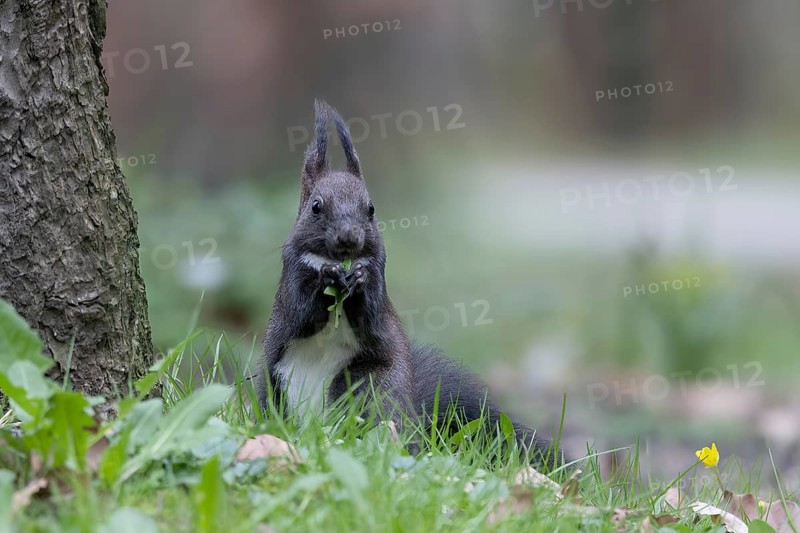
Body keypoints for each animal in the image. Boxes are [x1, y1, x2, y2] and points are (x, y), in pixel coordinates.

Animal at [257, 100, 557, 467]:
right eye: (316, 206)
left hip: (370, 385)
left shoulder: (379, 276)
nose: (349, 238)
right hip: (275, 389)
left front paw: (357, 281)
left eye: (371, 208)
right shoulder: (291, 278)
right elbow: (301, 312)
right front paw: (327, 277)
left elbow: (370, 313)